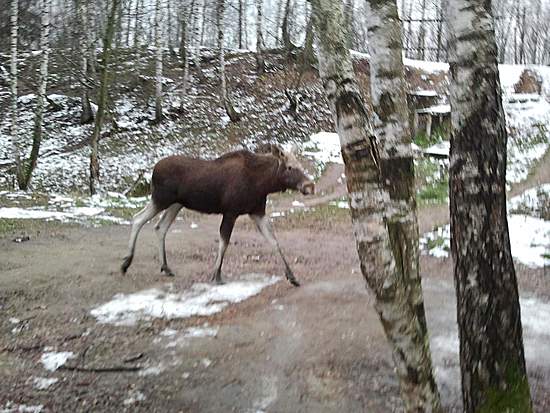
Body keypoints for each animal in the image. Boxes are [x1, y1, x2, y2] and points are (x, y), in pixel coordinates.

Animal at [123, 145, 316, 286]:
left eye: (300, 166)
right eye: (290, 167)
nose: (310, 186)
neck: (263, 184)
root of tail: (153, 170)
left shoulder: (257, 212)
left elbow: (274, 241)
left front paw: (292, 276)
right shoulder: (231, 212)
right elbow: (224, 242)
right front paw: (216, 275)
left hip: (175, 204)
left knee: (160, 227)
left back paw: (165, 267)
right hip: (161, 199)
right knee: (138, 219)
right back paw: (126, 263)